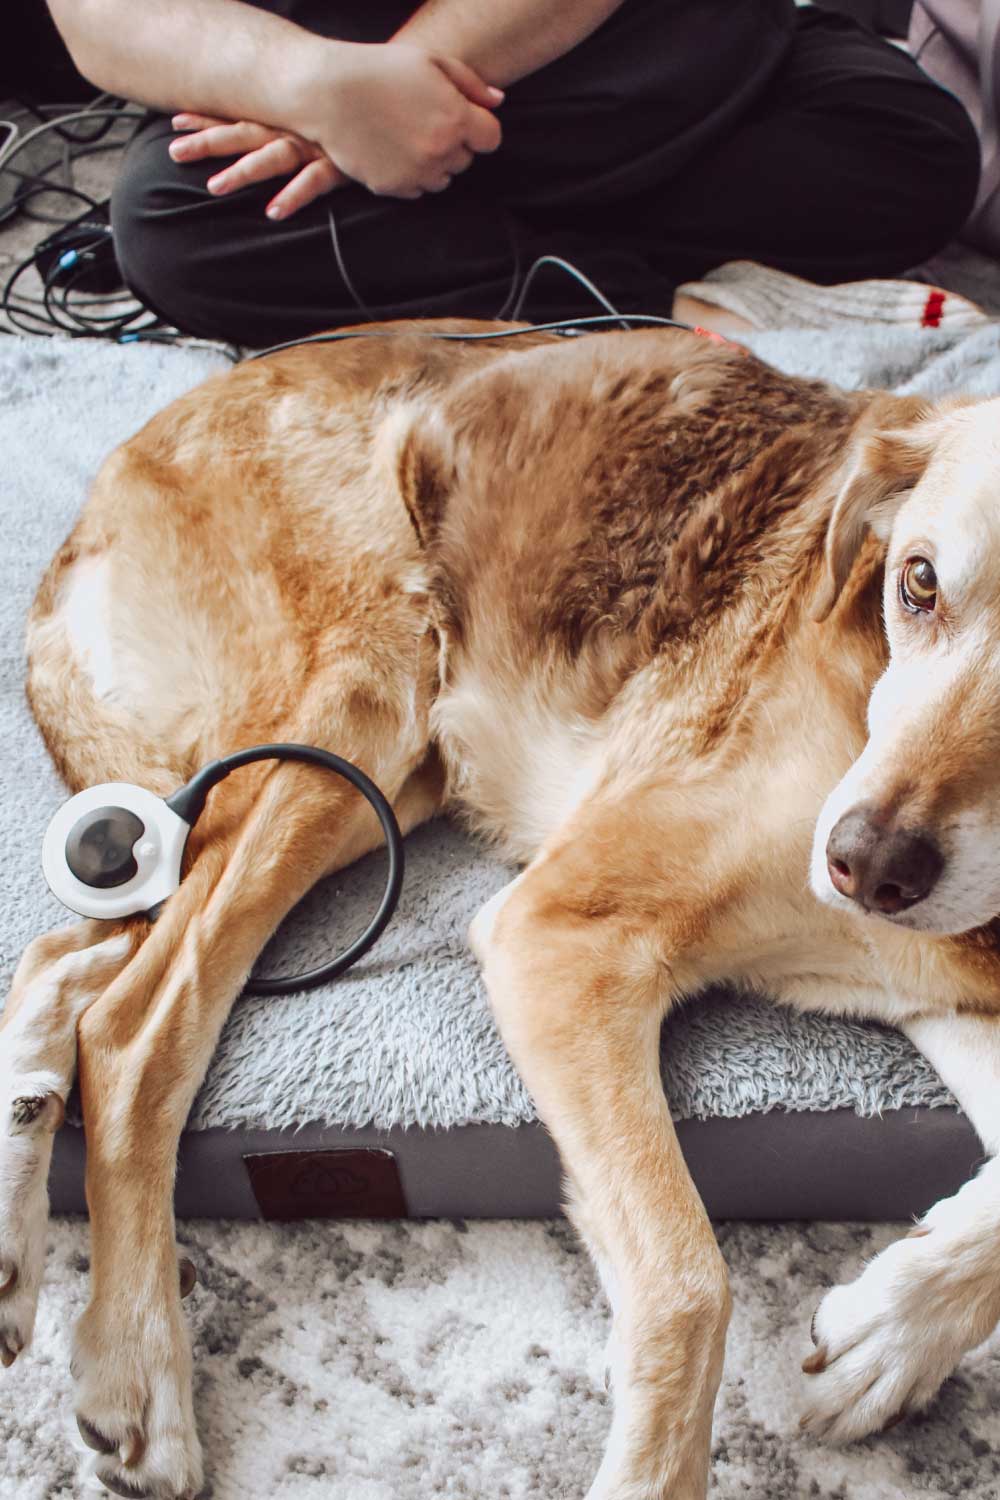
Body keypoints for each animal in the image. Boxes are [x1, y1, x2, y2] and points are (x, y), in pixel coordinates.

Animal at [1, 319, 1000, 1500]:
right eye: (917, 583)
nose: (864, 867)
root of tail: (103, 492)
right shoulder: (565, 935)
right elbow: (688, 1285)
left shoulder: (937, 990)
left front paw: (892, 1334)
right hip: (363, 701)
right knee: (134, 1027)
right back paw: (134, 1366)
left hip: (377, 783)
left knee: (66, 950)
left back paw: (16, 1208)